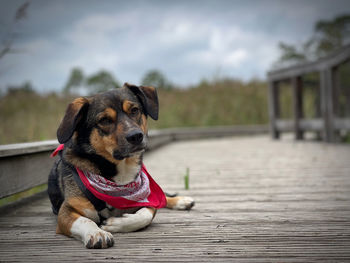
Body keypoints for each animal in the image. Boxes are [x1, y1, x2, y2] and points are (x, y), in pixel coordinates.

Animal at [49, 83, 196, 250]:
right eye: (105, 120)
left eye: (134, 110)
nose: (136, 136)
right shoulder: (66, 211)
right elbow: (86, 220)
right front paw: (97, 233)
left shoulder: (146, 202)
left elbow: (145, 215)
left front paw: (116, 223)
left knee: (162, 198)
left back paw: (182, 201)